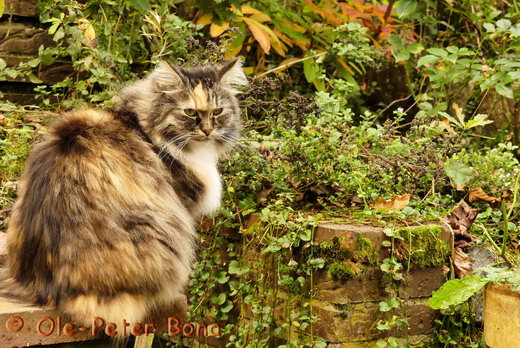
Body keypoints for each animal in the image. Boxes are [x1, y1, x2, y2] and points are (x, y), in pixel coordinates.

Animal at [0, 58, 248, 328]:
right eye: (190, 112)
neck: (145, 128)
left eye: (218, 112)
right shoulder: (183, 204)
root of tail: (43, 286)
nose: (208, 130)